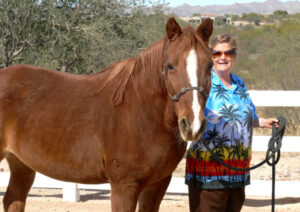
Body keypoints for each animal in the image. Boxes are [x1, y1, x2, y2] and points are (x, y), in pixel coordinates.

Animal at [0, 17, 213, 211]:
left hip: (21, 164)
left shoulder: (159, 184)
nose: (192, 124)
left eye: (210, 65)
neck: (143, 113)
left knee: (13, 200)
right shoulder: (124, 186)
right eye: (170, 65)